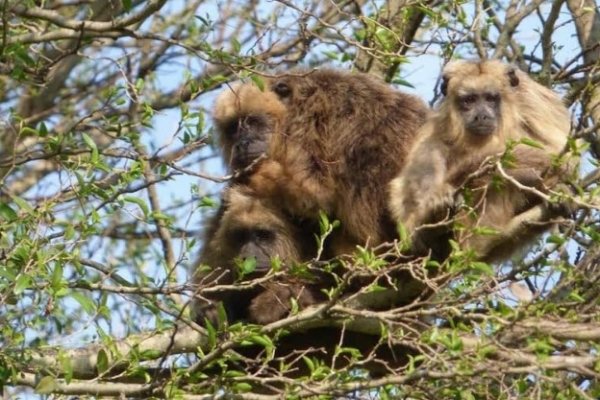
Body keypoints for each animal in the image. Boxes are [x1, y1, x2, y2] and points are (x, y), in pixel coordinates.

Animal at [390, 57, 572, 260]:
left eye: (490, 98)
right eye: (469, 100)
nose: (481, 116)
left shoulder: (532, 100)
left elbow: (560, 156)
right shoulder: (441, 119)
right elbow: (411, 179)